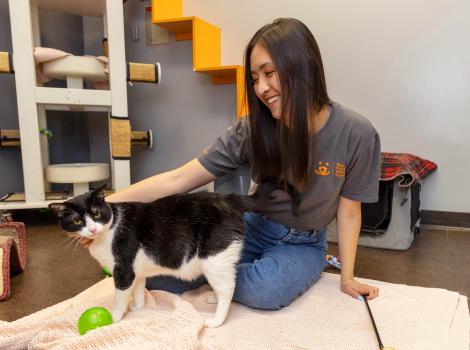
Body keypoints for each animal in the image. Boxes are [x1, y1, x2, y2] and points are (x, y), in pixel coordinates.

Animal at [48, 183, 276, 328]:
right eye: (77, 221)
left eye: (96, 214)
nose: (92, 229)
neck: (108, 230)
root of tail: (227, 198)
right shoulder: (136, 270)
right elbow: (139, 289)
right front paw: (138, 309)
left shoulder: (123, 270)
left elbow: (120, 296)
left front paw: (114, 318)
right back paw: (213, 297)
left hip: (213, 258)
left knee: (228, 287)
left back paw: (216, 320)